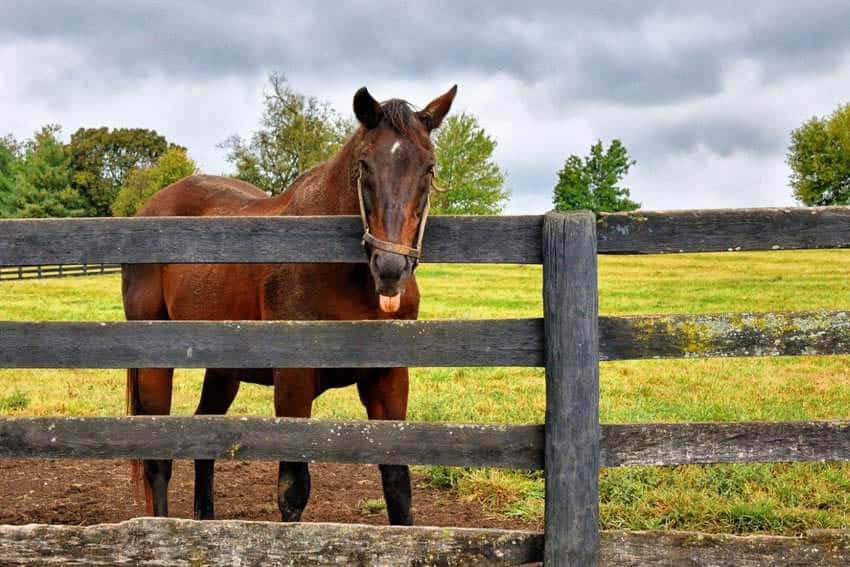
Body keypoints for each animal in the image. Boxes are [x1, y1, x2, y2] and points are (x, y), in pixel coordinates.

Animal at [122, 85, 457, 525]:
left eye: (428, 167)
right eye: (365, 165)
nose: (390, 267)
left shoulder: (388, 380)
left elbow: (397, 485)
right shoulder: (294, 384)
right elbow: (293, 490)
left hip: (224, 368)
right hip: (154, 363)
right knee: (158, 458)